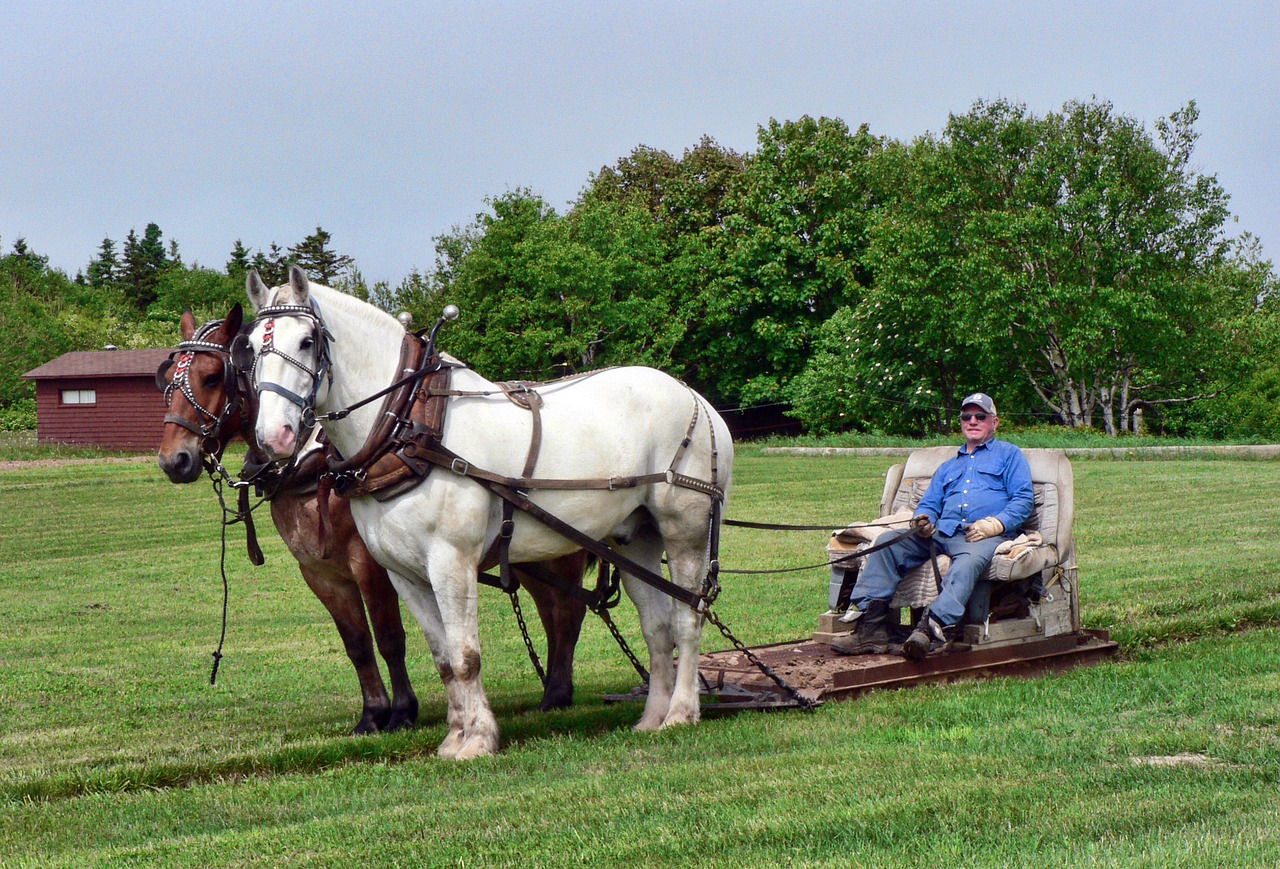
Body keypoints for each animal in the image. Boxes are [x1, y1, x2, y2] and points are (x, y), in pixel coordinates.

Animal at [156, 305, 588, 732]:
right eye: (169, 379)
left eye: (212, 376)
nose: (174, 460)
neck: (315, 466)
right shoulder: (320, 573)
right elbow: (357, 643)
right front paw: (373, 712)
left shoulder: (370, 565)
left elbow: (389, 637)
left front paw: (402, 710)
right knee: (552, 609)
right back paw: (556, 688)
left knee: (568, 611)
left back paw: (556, 692)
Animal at [244, 268, 737, 757]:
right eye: (250, 348)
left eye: (307, 340)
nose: (274, 437)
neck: (411, 427)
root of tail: (698, 400)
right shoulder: (403, 573)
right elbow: (443, 659)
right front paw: (454, 738)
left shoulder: (451, 561)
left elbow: (466, 656)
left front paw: (479, 739)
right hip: (635, 537)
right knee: (657, 627)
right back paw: (653, 716)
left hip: (685, 527)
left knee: (688, 616)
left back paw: (681, 712)